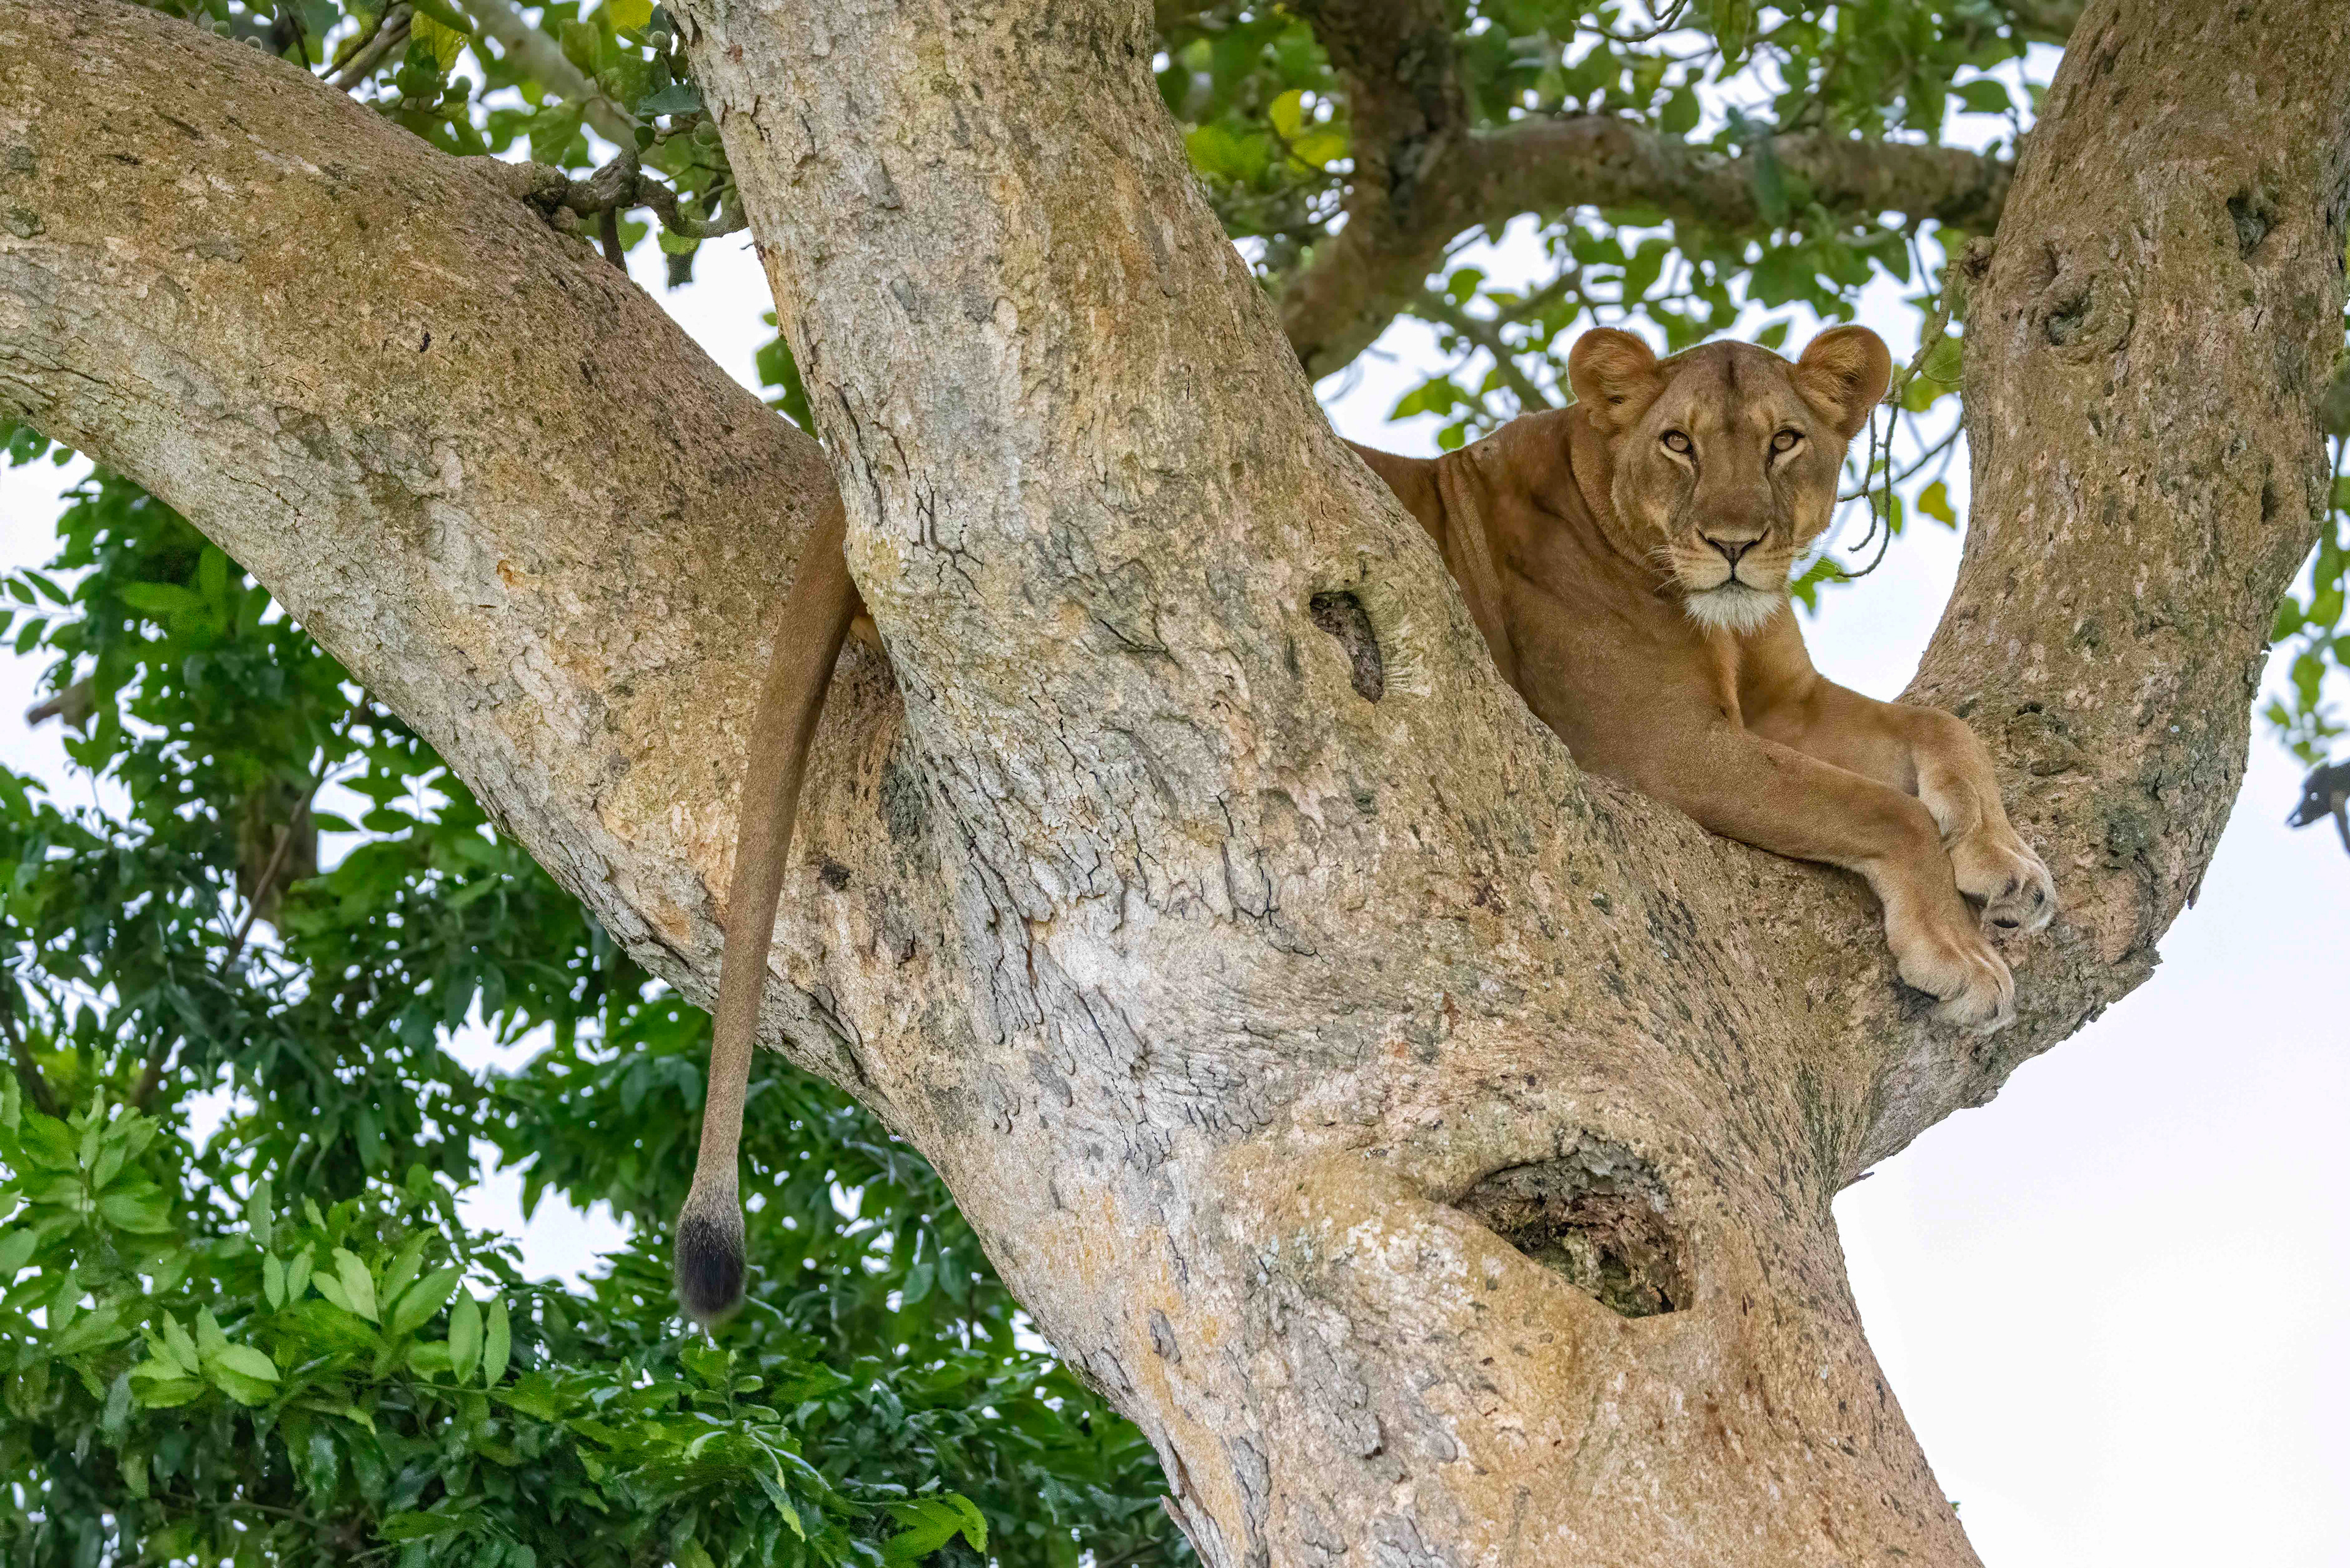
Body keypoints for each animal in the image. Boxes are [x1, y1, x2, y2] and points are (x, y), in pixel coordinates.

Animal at [1351, 325, 2054, 1037]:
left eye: (1784, 441)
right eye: (1678, 442)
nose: (1733, 545)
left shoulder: (1790, 702)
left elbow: (1944, 727)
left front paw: (2008, 862)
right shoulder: (1661, 744)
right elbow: (1888, 809)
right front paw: (1961, 955)